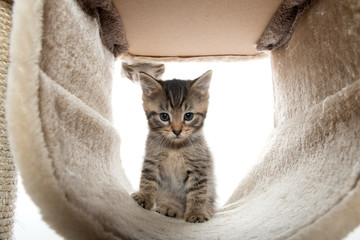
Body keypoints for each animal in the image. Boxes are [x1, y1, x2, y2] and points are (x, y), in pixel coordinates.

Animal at [132, 71, 217, 223]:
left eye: (188, 116)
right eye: (164, 116)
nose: (177, 131)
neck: (175, 147)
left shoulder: (198, 166)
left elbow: (198, 192)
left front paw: (196, 212)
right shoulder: (151, 159)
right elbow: (147, 179)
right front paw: (144, 197)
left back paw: (207, 210)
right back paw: (170, 208)